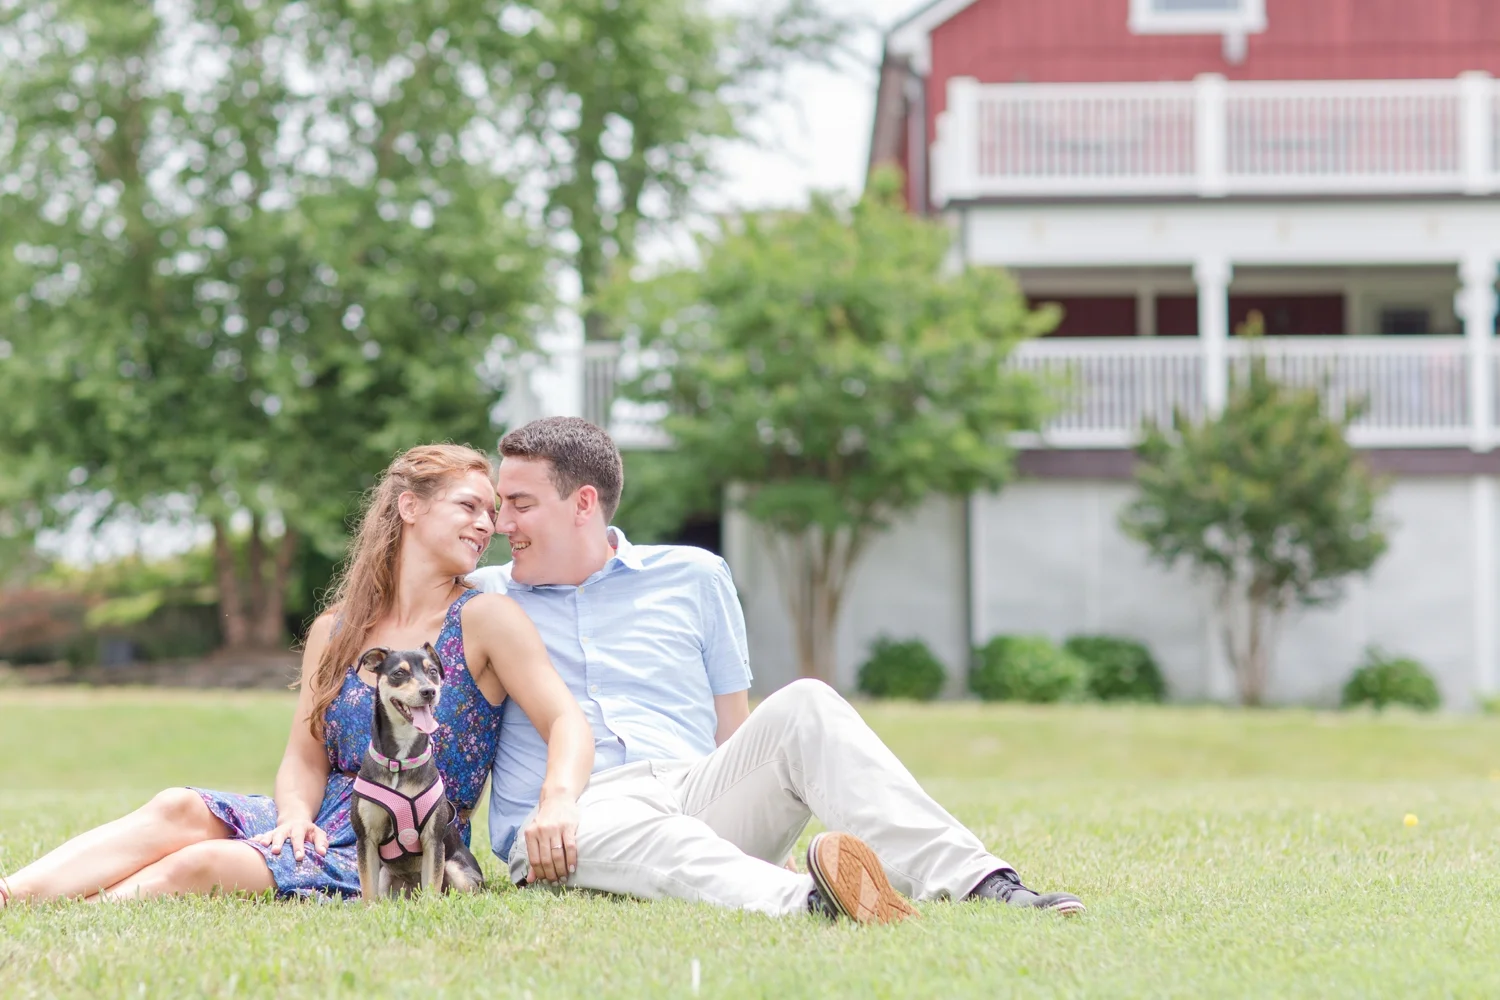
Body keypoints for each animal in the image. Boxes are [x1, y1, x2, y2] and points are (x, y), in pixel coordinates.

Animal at [348, 644, 483, 905]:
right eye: (399, 673)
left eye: (433, 672)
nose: (429, 691)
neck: (399, 763)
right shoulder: (366, 839)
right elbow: (367, 888)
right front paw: (368, 909)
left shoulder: (433, 840)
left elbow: (432, 886)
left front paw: (429, 909)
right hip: (386, 877)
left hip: (457, 871)